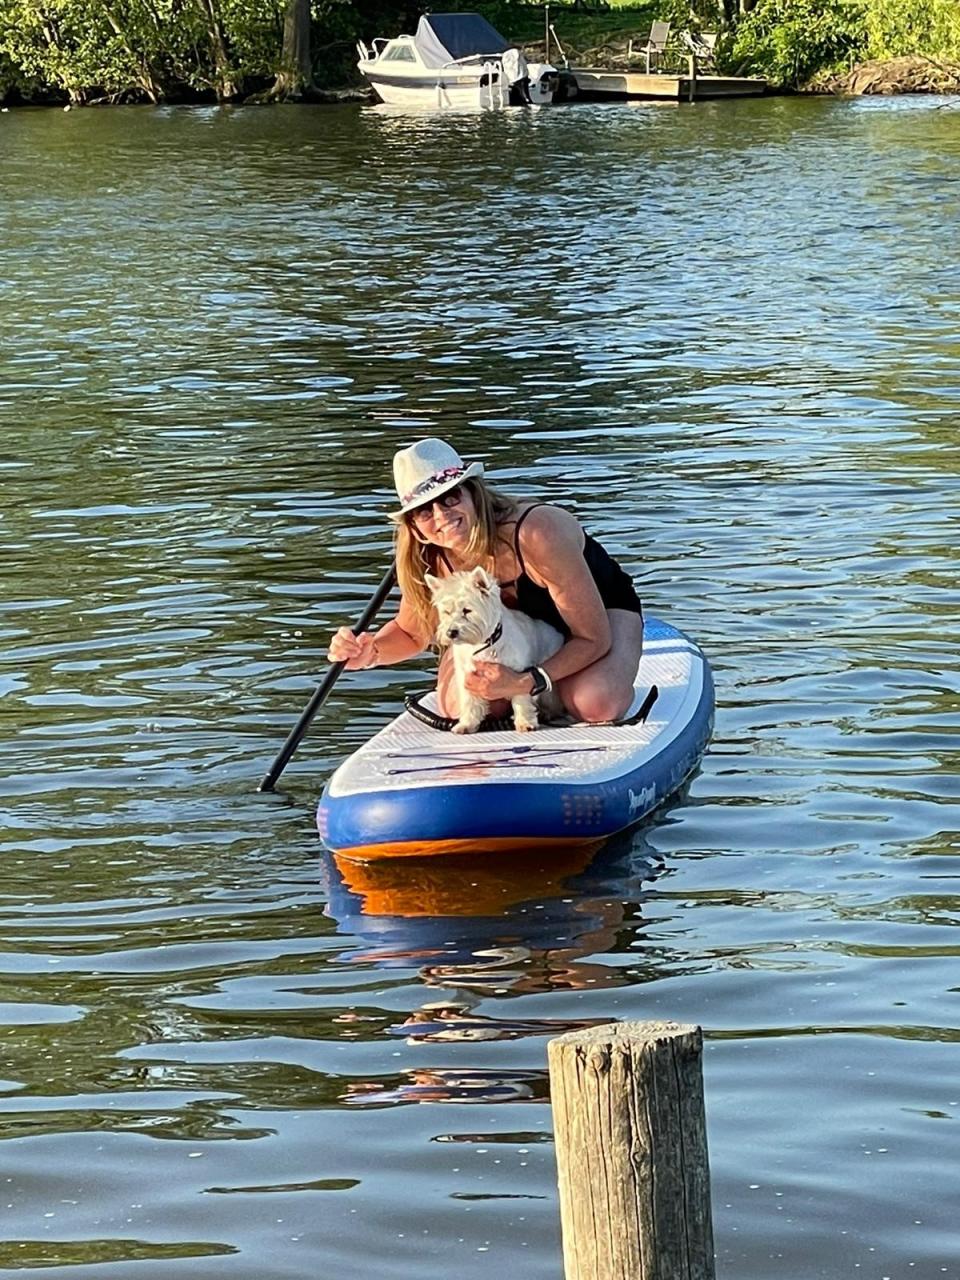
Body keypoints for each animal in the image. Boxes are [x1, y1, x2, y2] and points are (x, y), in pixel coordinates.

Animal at [427, 568, 568, 737]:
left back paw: (548, 713)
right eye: (447, 612)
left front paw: (525, 723)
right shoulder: (467, 675)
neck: (483, 644)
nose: (451, 632)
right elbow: (470, 702)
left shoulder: (518, 673)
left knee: (552, 699)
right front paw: (466, 725)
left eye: (467, 610)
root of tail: (557, 633)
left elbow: (521, 699)